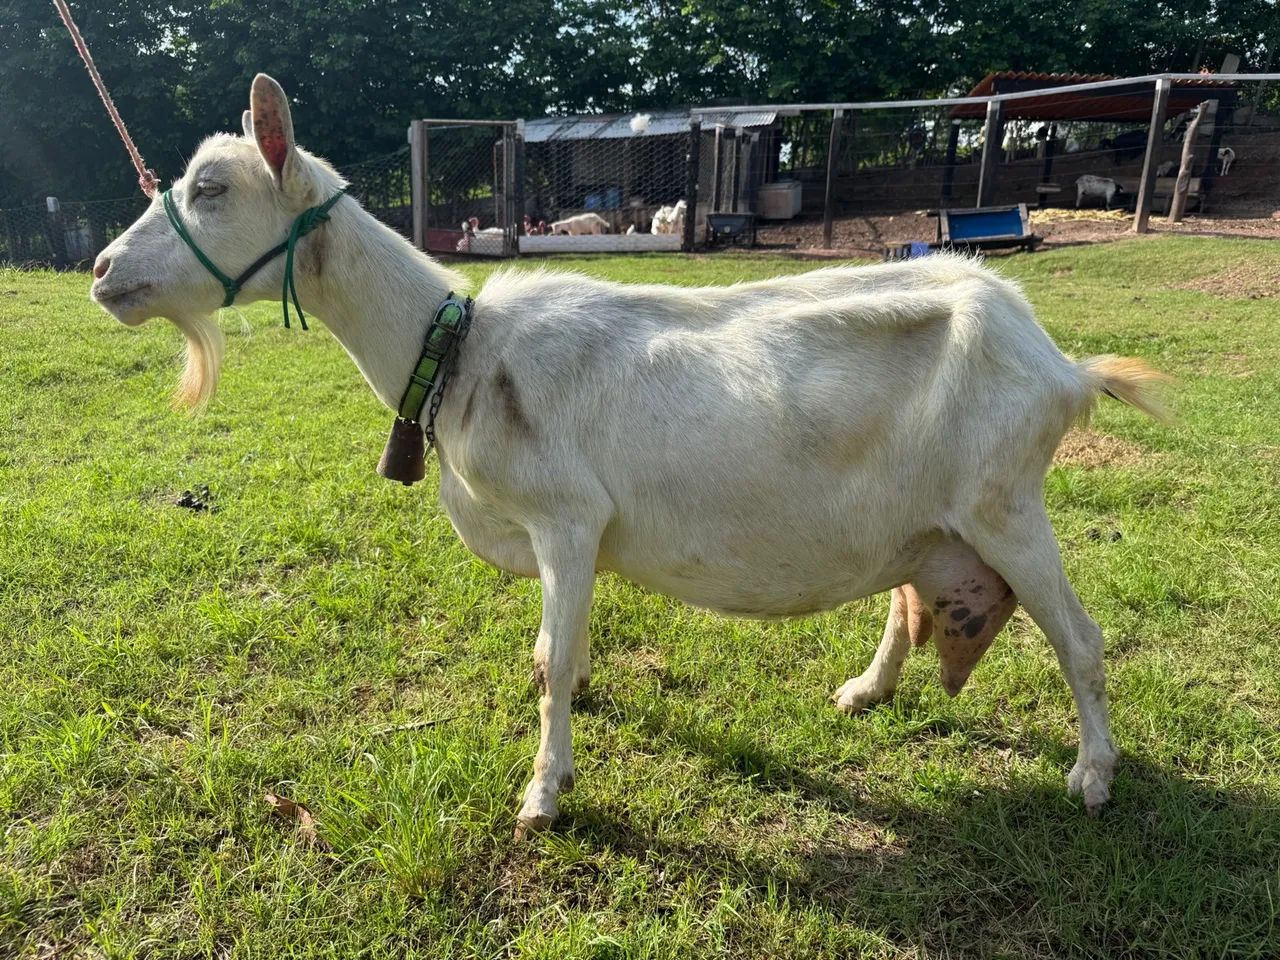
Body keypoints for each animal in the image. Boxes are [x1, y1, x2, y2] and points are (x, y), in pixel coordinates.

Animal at [91, 74, 1171, 837]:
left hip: (1005, 503)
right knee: (911, 600)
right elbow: (556, 654)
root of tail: (1056, 360)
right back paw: (867, 691)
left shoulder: (569, 519)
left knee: (1081, 638)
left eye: (211, 187)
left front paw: (543, 794)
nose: (102, 272)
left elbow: (548, 658)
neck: (461, 350)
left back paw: (1091, 776)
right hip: (933, 521)